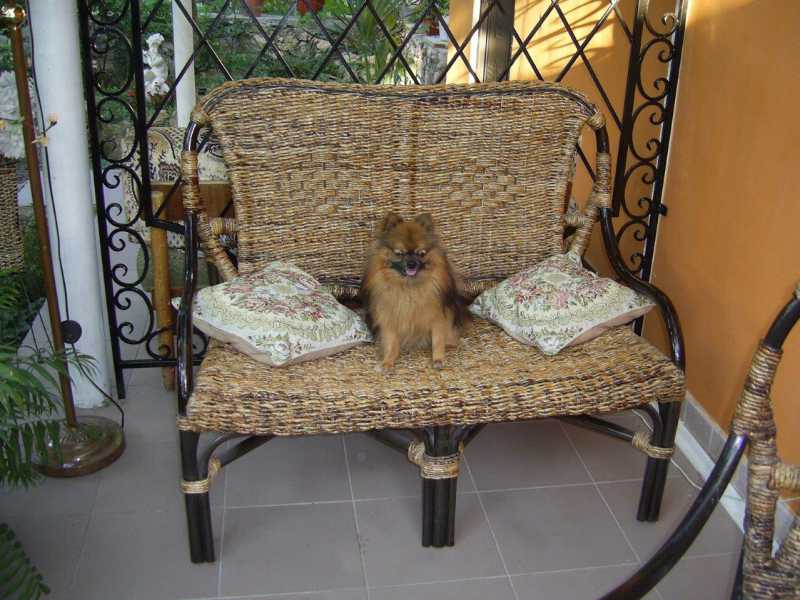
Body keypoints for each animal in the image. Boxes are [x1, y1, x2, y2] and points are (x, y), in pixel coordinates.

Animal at [360, 212, 467, 371]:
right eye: (399, 253)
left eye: (421, 253)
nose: (411, 264)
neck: (409, 287)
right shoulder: (390, 319)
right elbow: (391, 344)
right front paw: (387, 361)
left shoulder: (438, 318)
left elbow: (438, 340)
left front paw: (438, 359)